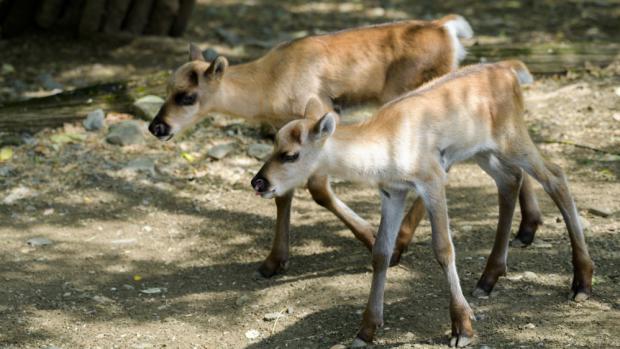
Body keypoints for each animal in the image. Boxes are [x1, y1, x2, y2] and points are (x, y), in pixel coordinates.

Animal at [251, 61, 592, 346]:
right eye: (273, 143)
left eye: (291, 154)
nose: (259, 182)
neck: (384, 147)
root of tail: (512, 71)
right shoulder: (392, 190)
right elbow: (381, 252)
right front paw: (366, 330)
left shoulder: (432, 178)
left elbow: (443, 248)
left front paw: (462, 327)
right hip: (482, 151)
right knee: (509, 180)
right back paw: (488, 279)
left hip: (513, 138)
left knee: (556, 177)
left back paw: (582, 283)